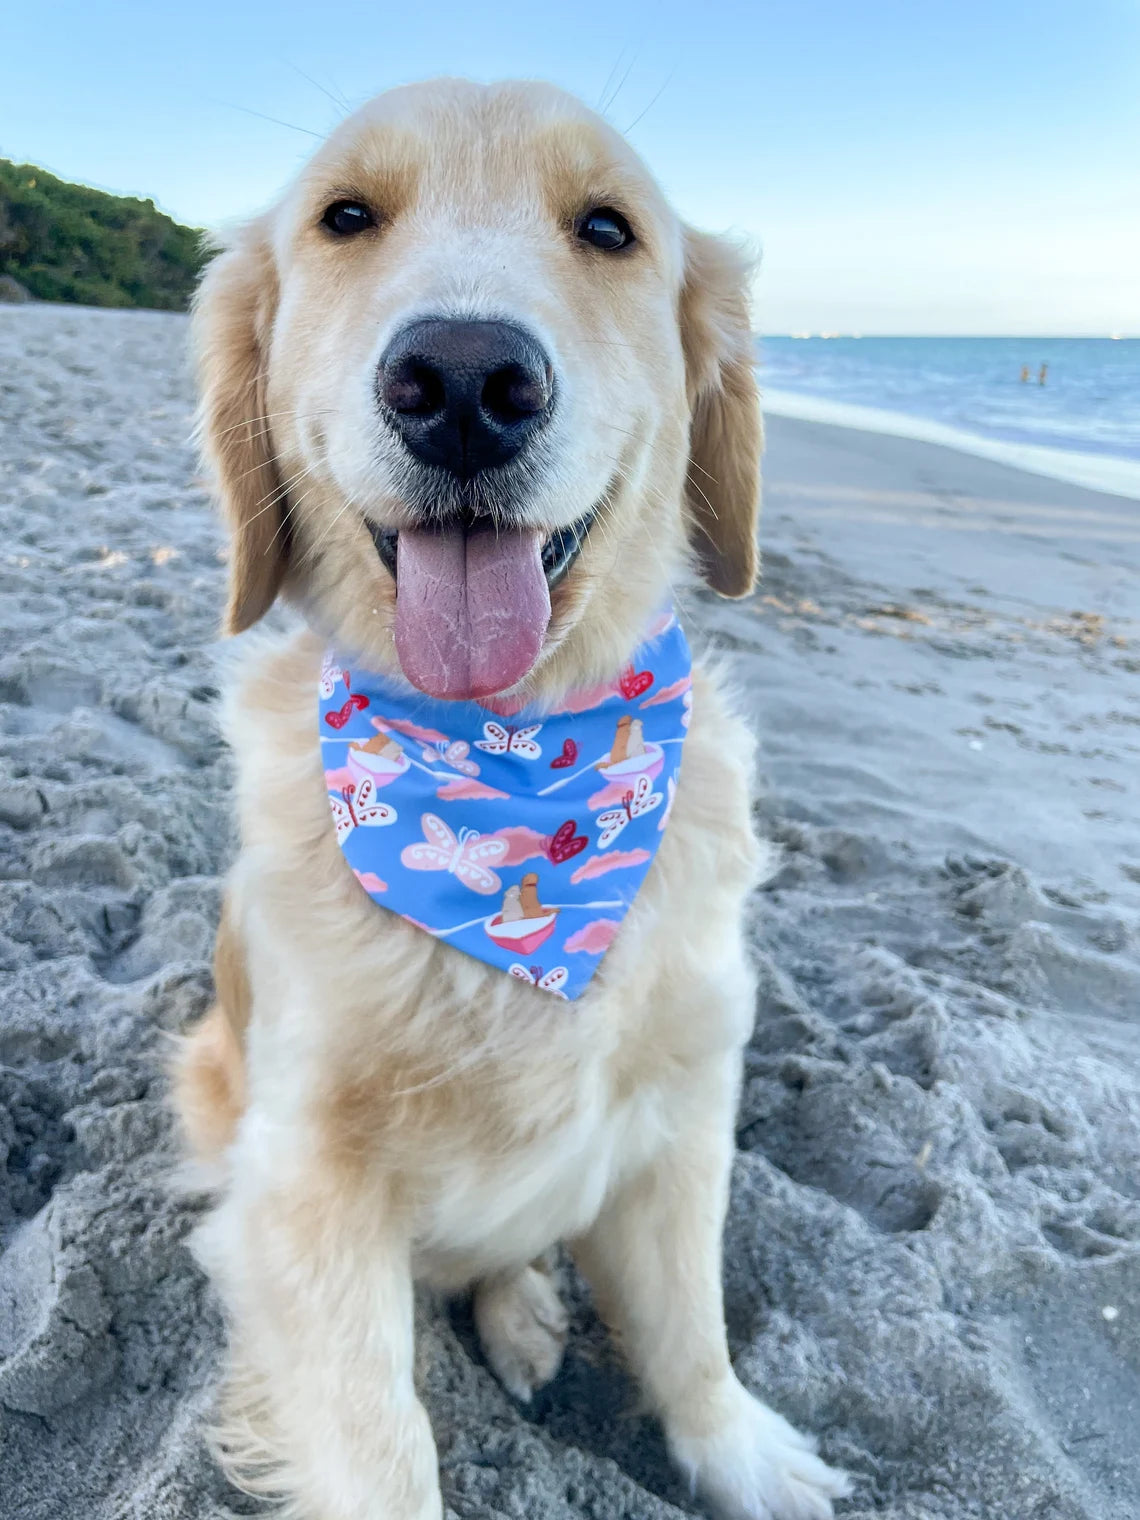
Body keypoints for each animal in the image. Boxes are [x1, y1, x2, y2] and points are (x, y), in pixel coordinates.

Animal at [176, 80, 851, 1520]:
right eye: (346, 218)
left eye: (607, 228)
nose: (465, 384)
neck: (516, 752)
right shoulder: (302, 1182)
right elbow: (380, 1443)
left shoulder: (686, 1108)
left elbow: (692, 1323)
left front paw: (742, 1451)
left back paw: (528, 1309)